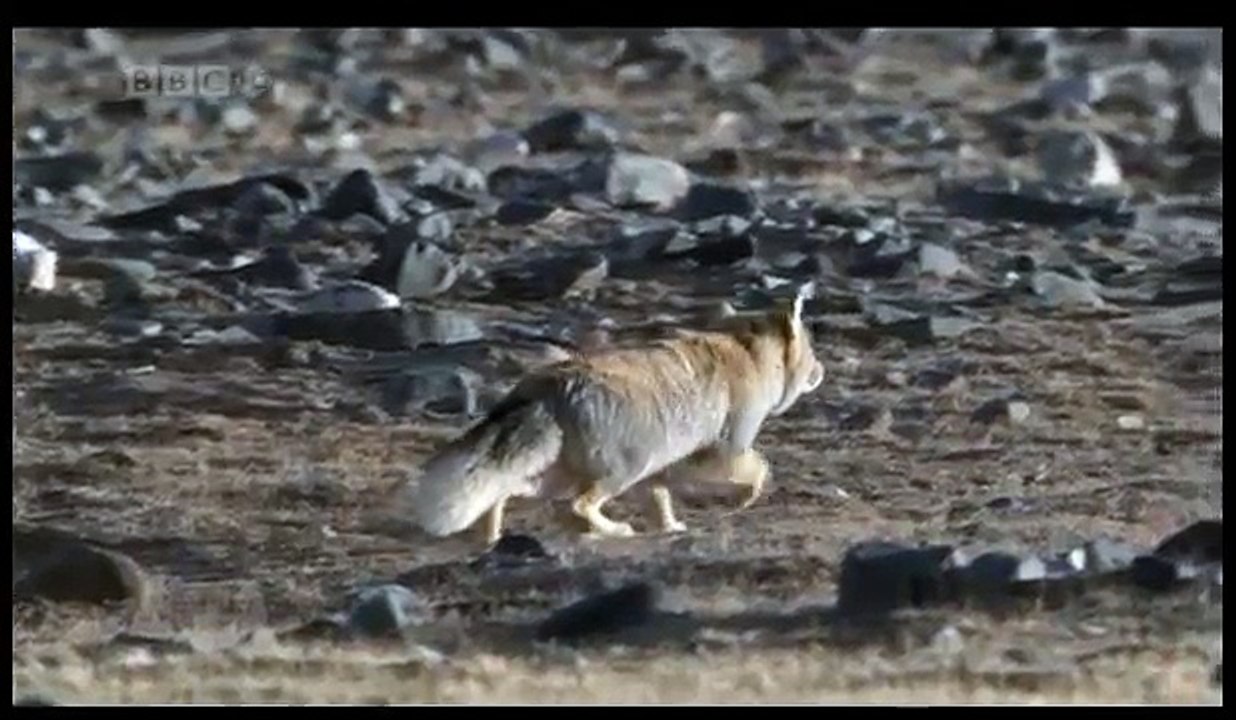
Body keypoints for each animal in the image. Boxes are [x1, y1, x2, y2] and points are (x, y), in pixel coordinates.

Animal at [394, 286, 825, 545]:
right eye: (812, 351)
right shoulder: (722, 450)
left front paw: (670, 527)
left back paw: (492, 537)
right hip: (620, 471)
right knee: (579, 505)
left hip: (556, 476)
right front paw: (745, 499)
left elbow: (660, 499)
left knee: (505, 491)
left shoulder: (661, 471)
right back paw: (615, 530)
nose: (822, 371)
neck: (750, 351)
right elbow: (759, 468)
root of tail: (548, 387)